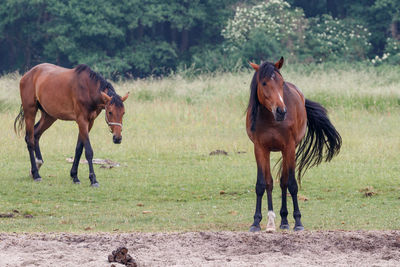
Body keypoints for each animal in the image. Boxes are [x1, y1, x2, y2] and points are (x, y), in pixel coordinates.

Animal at [245, 58, 342, 232]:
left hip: (288, 151)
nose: (281, 111)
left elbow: (291, 184)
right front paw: (257, 222)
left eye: (281, 82)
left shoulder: (289, 148)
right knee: (272, 182)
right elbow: (263, 184)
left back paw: (284, 221)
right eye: (263, 83)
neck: (271, 119)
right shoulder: (260, 149)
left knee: (284, 182)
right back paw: (275, 221)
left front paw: (298, 222)